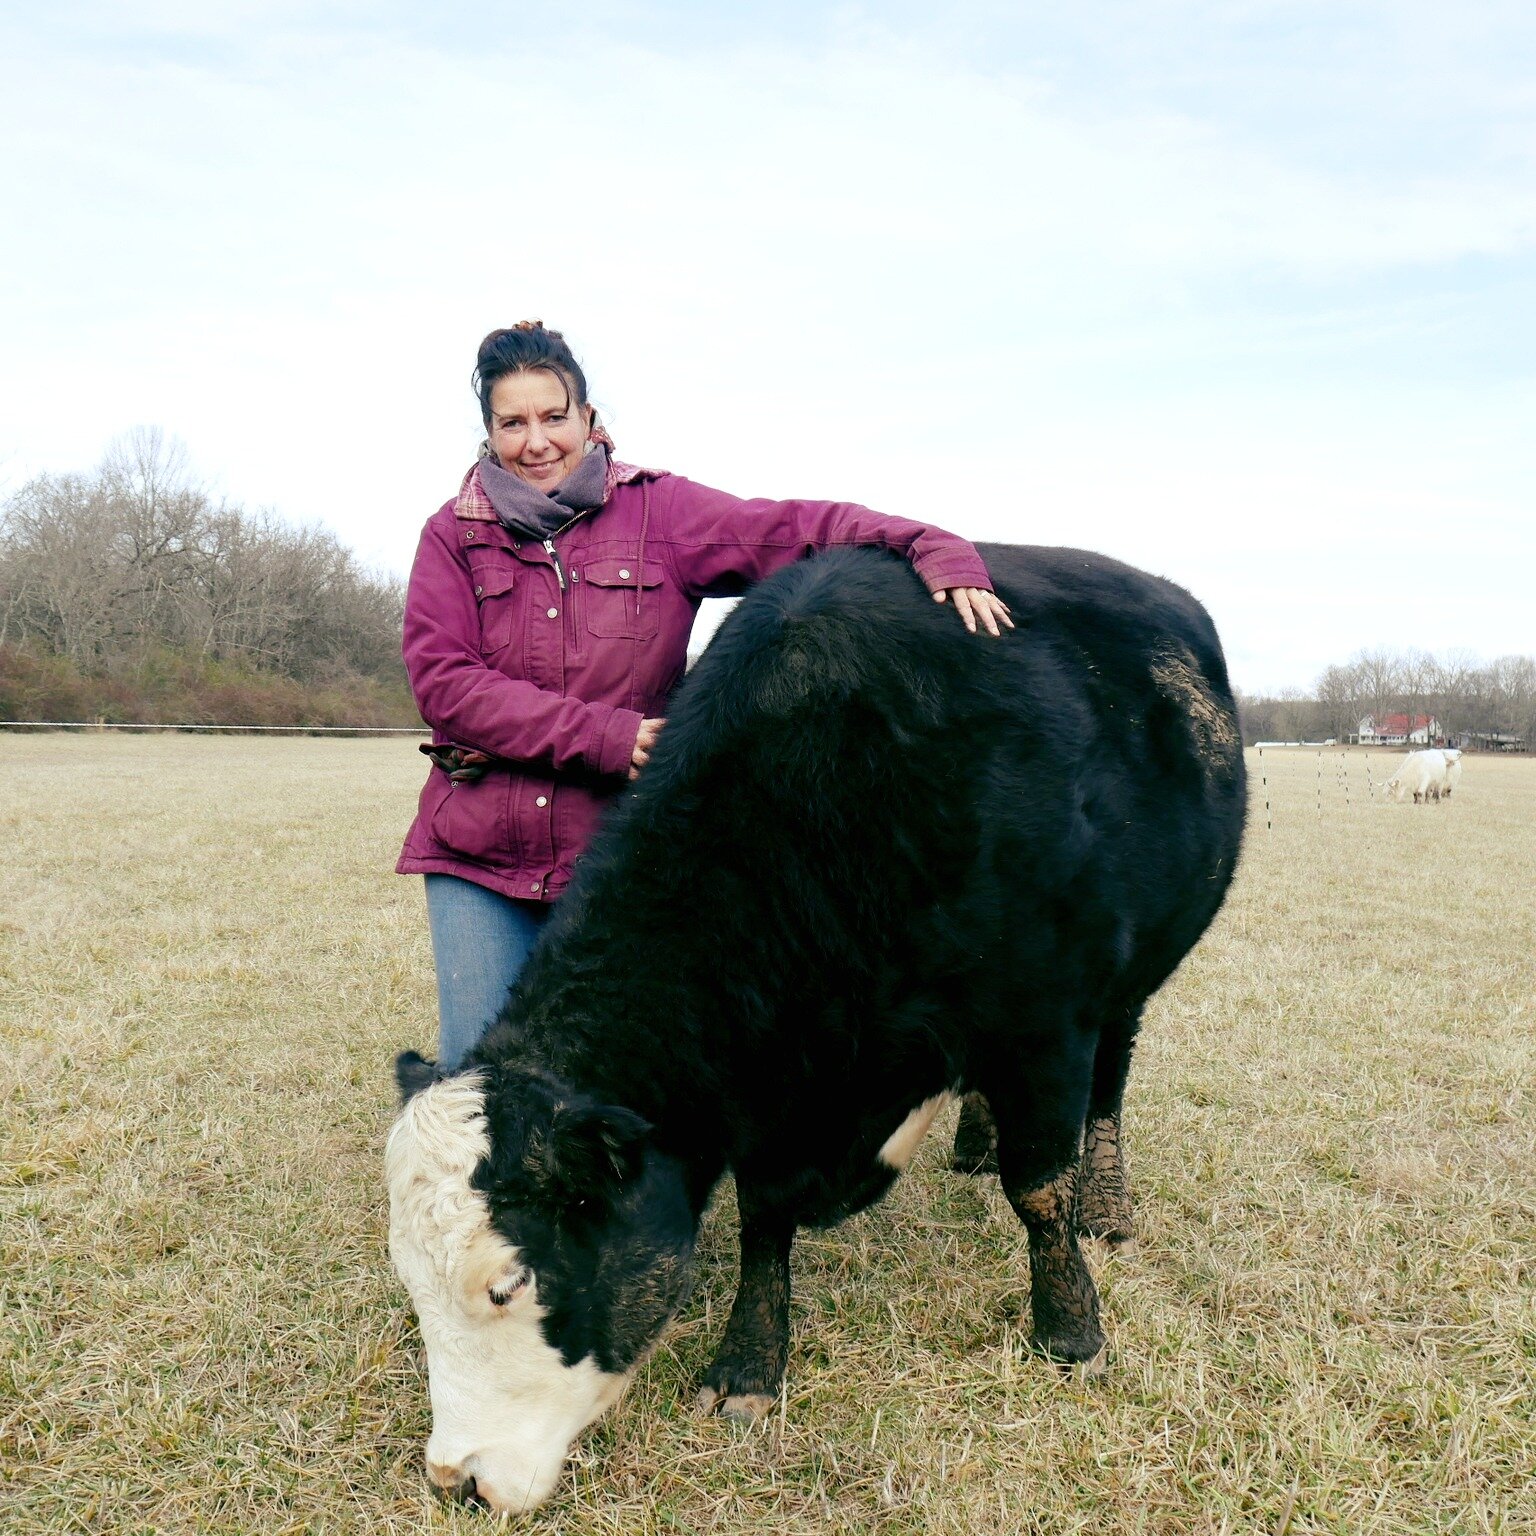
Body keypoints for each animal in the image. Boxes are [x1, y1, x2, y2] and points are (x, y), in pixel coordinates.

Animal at [384, 543, 1247, 1511]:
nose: (455, 1476)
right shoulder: (776, 1086)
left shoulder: (1046, 1025)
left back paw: (1106, 1202)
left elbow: (1040, 1191)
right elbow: (765, 1218)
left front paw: (1072, 1332)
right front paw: (749, 1366)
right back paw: (975, 1143)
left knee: (1110, 1086)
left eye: (509, 1284)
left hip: (1133, 980)